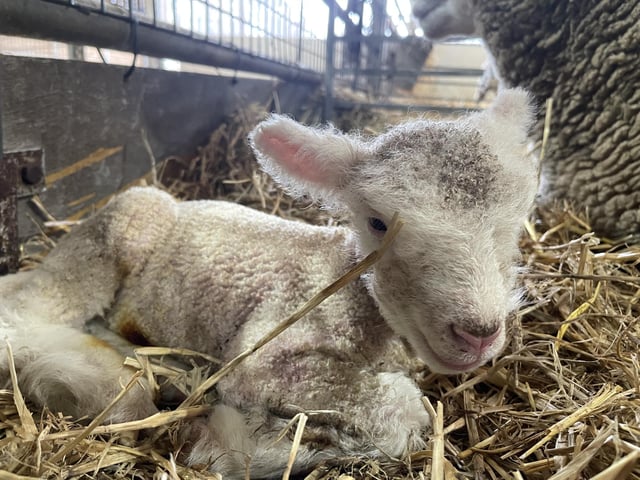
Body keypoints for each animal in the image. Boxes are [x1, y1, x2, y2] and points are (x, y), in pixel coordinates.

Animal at [0, 88, 537, 478]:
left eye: (517, 220)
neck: (352, 292)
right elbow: (405, 412)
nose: (479, 332)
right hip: (122, 226)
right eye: (378, 223)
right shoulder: (266, 347)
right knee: (23, 317)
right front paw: (229, 440)